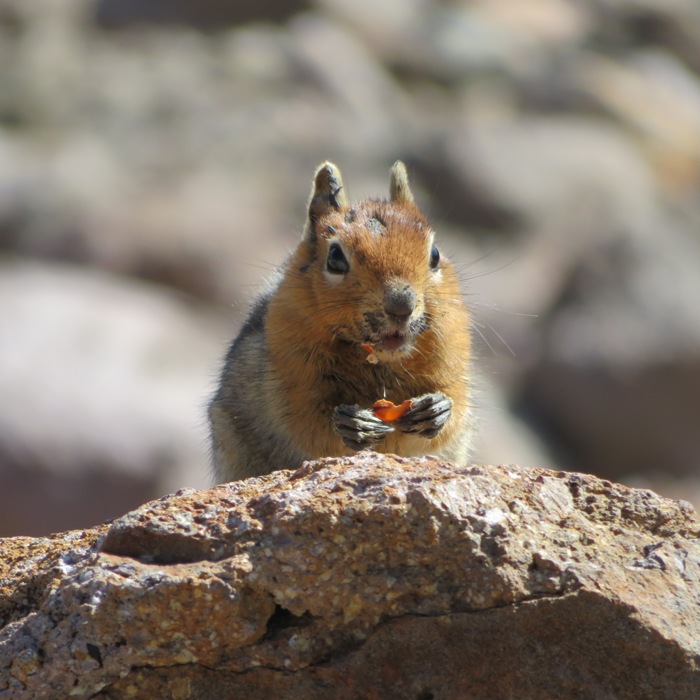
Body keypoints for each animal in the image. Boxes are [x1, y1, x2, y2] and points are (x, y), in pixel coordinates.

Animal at [205, 160, 474, 482]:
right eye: (335, 257)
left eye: (434, 254)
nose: (401, 305)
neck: (379, 359)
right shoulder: (291, 380)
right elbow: (312, 427)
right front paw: (352, 423)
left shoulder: (451, 363)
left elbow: (452, 411)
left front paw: (436, 409)